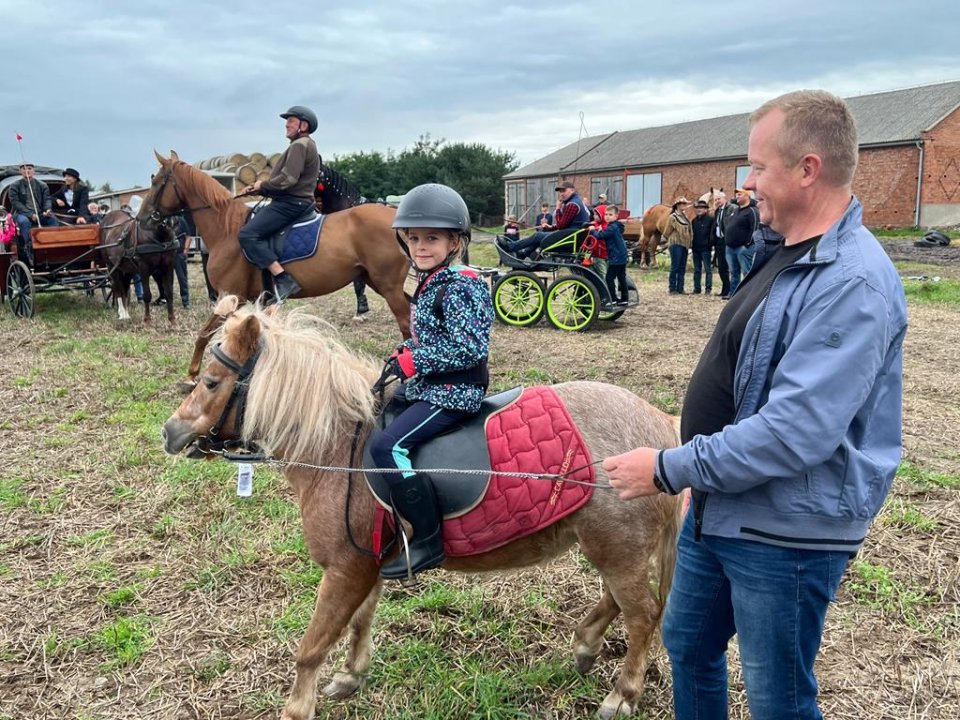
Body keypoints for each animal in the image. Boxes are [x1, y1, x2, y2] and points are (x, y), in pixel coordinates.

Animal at [137, 153, 406, 386]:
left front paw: (192, 375)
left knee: (406, 323)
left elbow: (205, 333)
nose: (142, 219)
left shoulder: (230, 296)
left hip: (389, 287)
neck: (227, 228)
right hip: (379, 282)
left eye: (157, 182)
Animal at [163, 296, 684, 720]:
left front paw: (298, 707)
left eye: (212, 381)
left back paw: (623, 694)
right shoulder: (367, 564)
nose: (170, 433)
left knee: (643, 614)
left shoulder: (344, 568)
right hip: (609, 548)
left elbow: (311, 647)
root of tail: (662, 429)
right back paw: (584, 645)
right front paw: (350, 676)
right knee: (620, 601)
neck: (341, 447)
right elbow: (360, 620)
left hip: (617, 550)